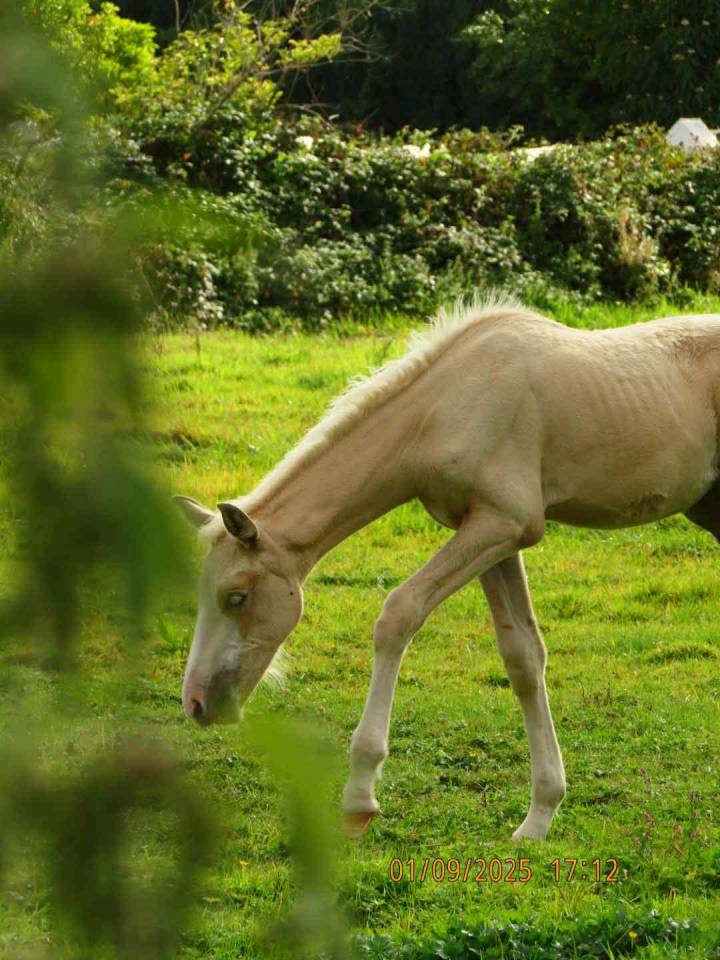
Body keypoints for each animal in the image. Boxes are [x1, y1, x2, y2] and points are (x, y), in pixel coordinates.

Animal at [174, 296, 720, 841]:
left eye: (237, 597)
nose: (196, 703)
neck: (445, 406)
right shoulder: (491, 533)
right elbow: (522, 656)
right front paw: (539, 816)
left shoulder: (505, 522)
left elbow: (399, 613)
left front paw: (360, 795)